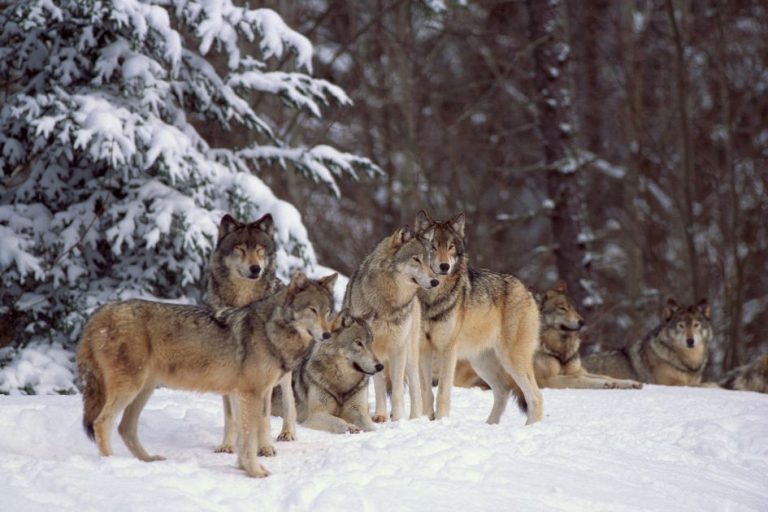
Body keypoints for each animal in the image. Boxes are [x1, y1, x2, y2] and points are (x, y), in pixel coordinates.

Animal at [77, 271, 336, 478]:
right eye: (312, 310)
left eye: (327, 311)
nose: (327, 335)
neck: (271, 330)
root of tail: (100, 312)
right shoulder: (251, 394)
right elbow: (249, 438)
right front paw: (254, 471)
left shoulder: (245, 394)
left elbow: (244, 436)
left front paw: (243, 467)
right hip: (130, 388)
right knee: (102, 422)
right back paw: (111, 463)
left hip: (143, 390)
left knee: (125, 428)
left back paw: (148, 461)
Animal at [205, 213, 296, 455]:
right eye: (240, 249)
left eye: (260, 249)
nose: (256, 268)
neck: (243, 301)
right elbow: (231, 415)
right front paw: (227, 445)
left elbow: (263, 416)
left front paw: (265, 448)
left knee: (289, 399)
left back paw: (287, 433)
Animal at [343, 224, 439, 422]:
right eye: (416, 259)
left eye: (429, 261)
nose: (435, 281)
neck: (387, 304)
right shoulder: (372, 350)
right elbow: (379, 386)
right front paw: (380, 415)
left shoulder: (398, 348)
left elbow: (397, 390)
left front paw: (399, 419)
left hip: (410, 352)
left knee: (415, 386)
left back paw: (415, 417)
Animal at [415, 210, 543, 425]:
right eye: (432, 247)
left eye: (450, 247)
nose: (444, 266)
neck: (432, 300)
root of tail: (526, 289)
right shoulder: (423, 349)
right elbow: (426, 392)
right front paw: (426, 420)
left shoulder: (448, 350)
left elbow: (442, 393)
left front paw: (441, 421)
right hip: (481, 363)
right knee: (503, 391)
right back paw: (490, 425)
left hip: (512, 360)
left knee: (535, 396)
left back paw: (530, 428)